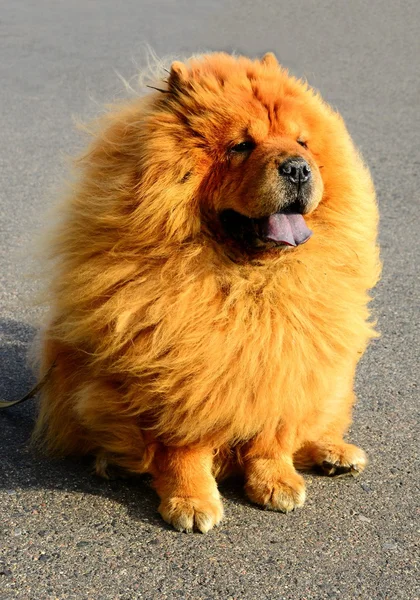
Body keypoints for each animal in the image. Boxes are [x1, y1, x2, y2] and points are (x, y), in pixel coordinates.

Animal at [33, 54, 380, 532]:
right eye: (241, 146)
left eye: (303, 142)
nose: (297, 167)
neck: (248, 281)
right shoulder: (178, 369)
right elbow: (182, 448)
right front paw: (192, 502)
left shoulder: (285, 359)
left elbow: (272, 436)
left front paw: (276, 483)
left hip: (331, 379)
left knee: (313, 425)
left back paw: (334, 453)